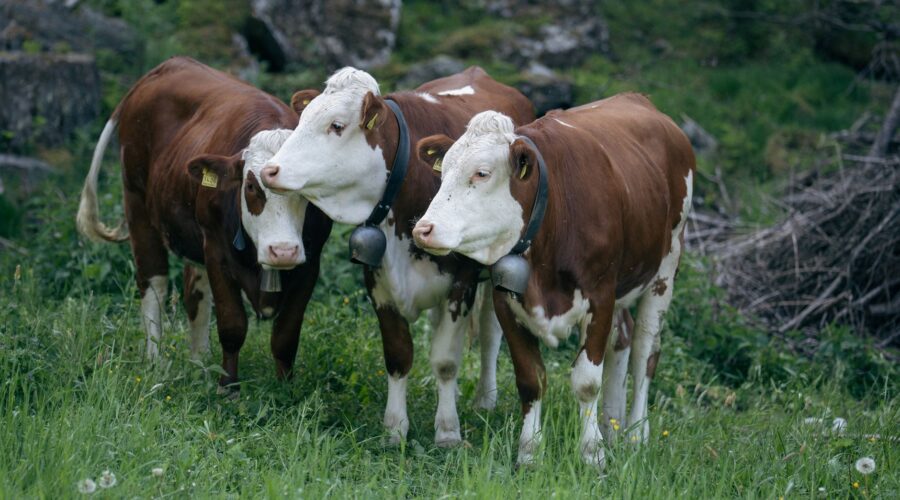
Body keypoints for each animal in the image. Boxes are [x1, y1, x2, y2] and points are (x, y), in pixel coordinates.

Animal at [76, 57, 332, 389]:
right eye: (251, 186)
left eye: (304, 184)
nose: (283, 251)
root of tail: (168, 65)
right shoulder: (217, 250)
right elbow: (232, 324)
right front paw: (228, 387)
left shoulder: (311, 261)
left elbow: (286, 334)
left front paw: (285, 388)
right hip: (137, 205)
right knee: (153, 285)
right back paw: (155, 363)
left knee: (194, 294)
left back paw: (200, 363)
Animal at [260, 67, 535, 446]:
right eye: (303, 117)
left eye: (336, 125)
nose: (269, 171)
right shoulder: (378, 283)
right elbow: (398, 355)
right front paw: (394, 429)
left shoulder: (461, 285)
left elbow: (446, 361)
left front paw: (447, 431)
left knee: (490, 333)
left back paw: (484, 399)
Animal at [411, 93, 695, 467]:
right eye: (443, 173)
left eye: (482, 173)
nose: (423, 229)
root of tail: (638, 99)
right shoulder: (507, 302)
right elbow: (531, 379)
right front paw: (530, 453)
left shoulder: (600, 298)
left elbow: (587, 381)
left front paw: (592, 455)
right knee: (623, 338)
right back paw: (612, 424)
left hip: (666, 267)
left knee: (645, 350)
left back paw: (636, 435)